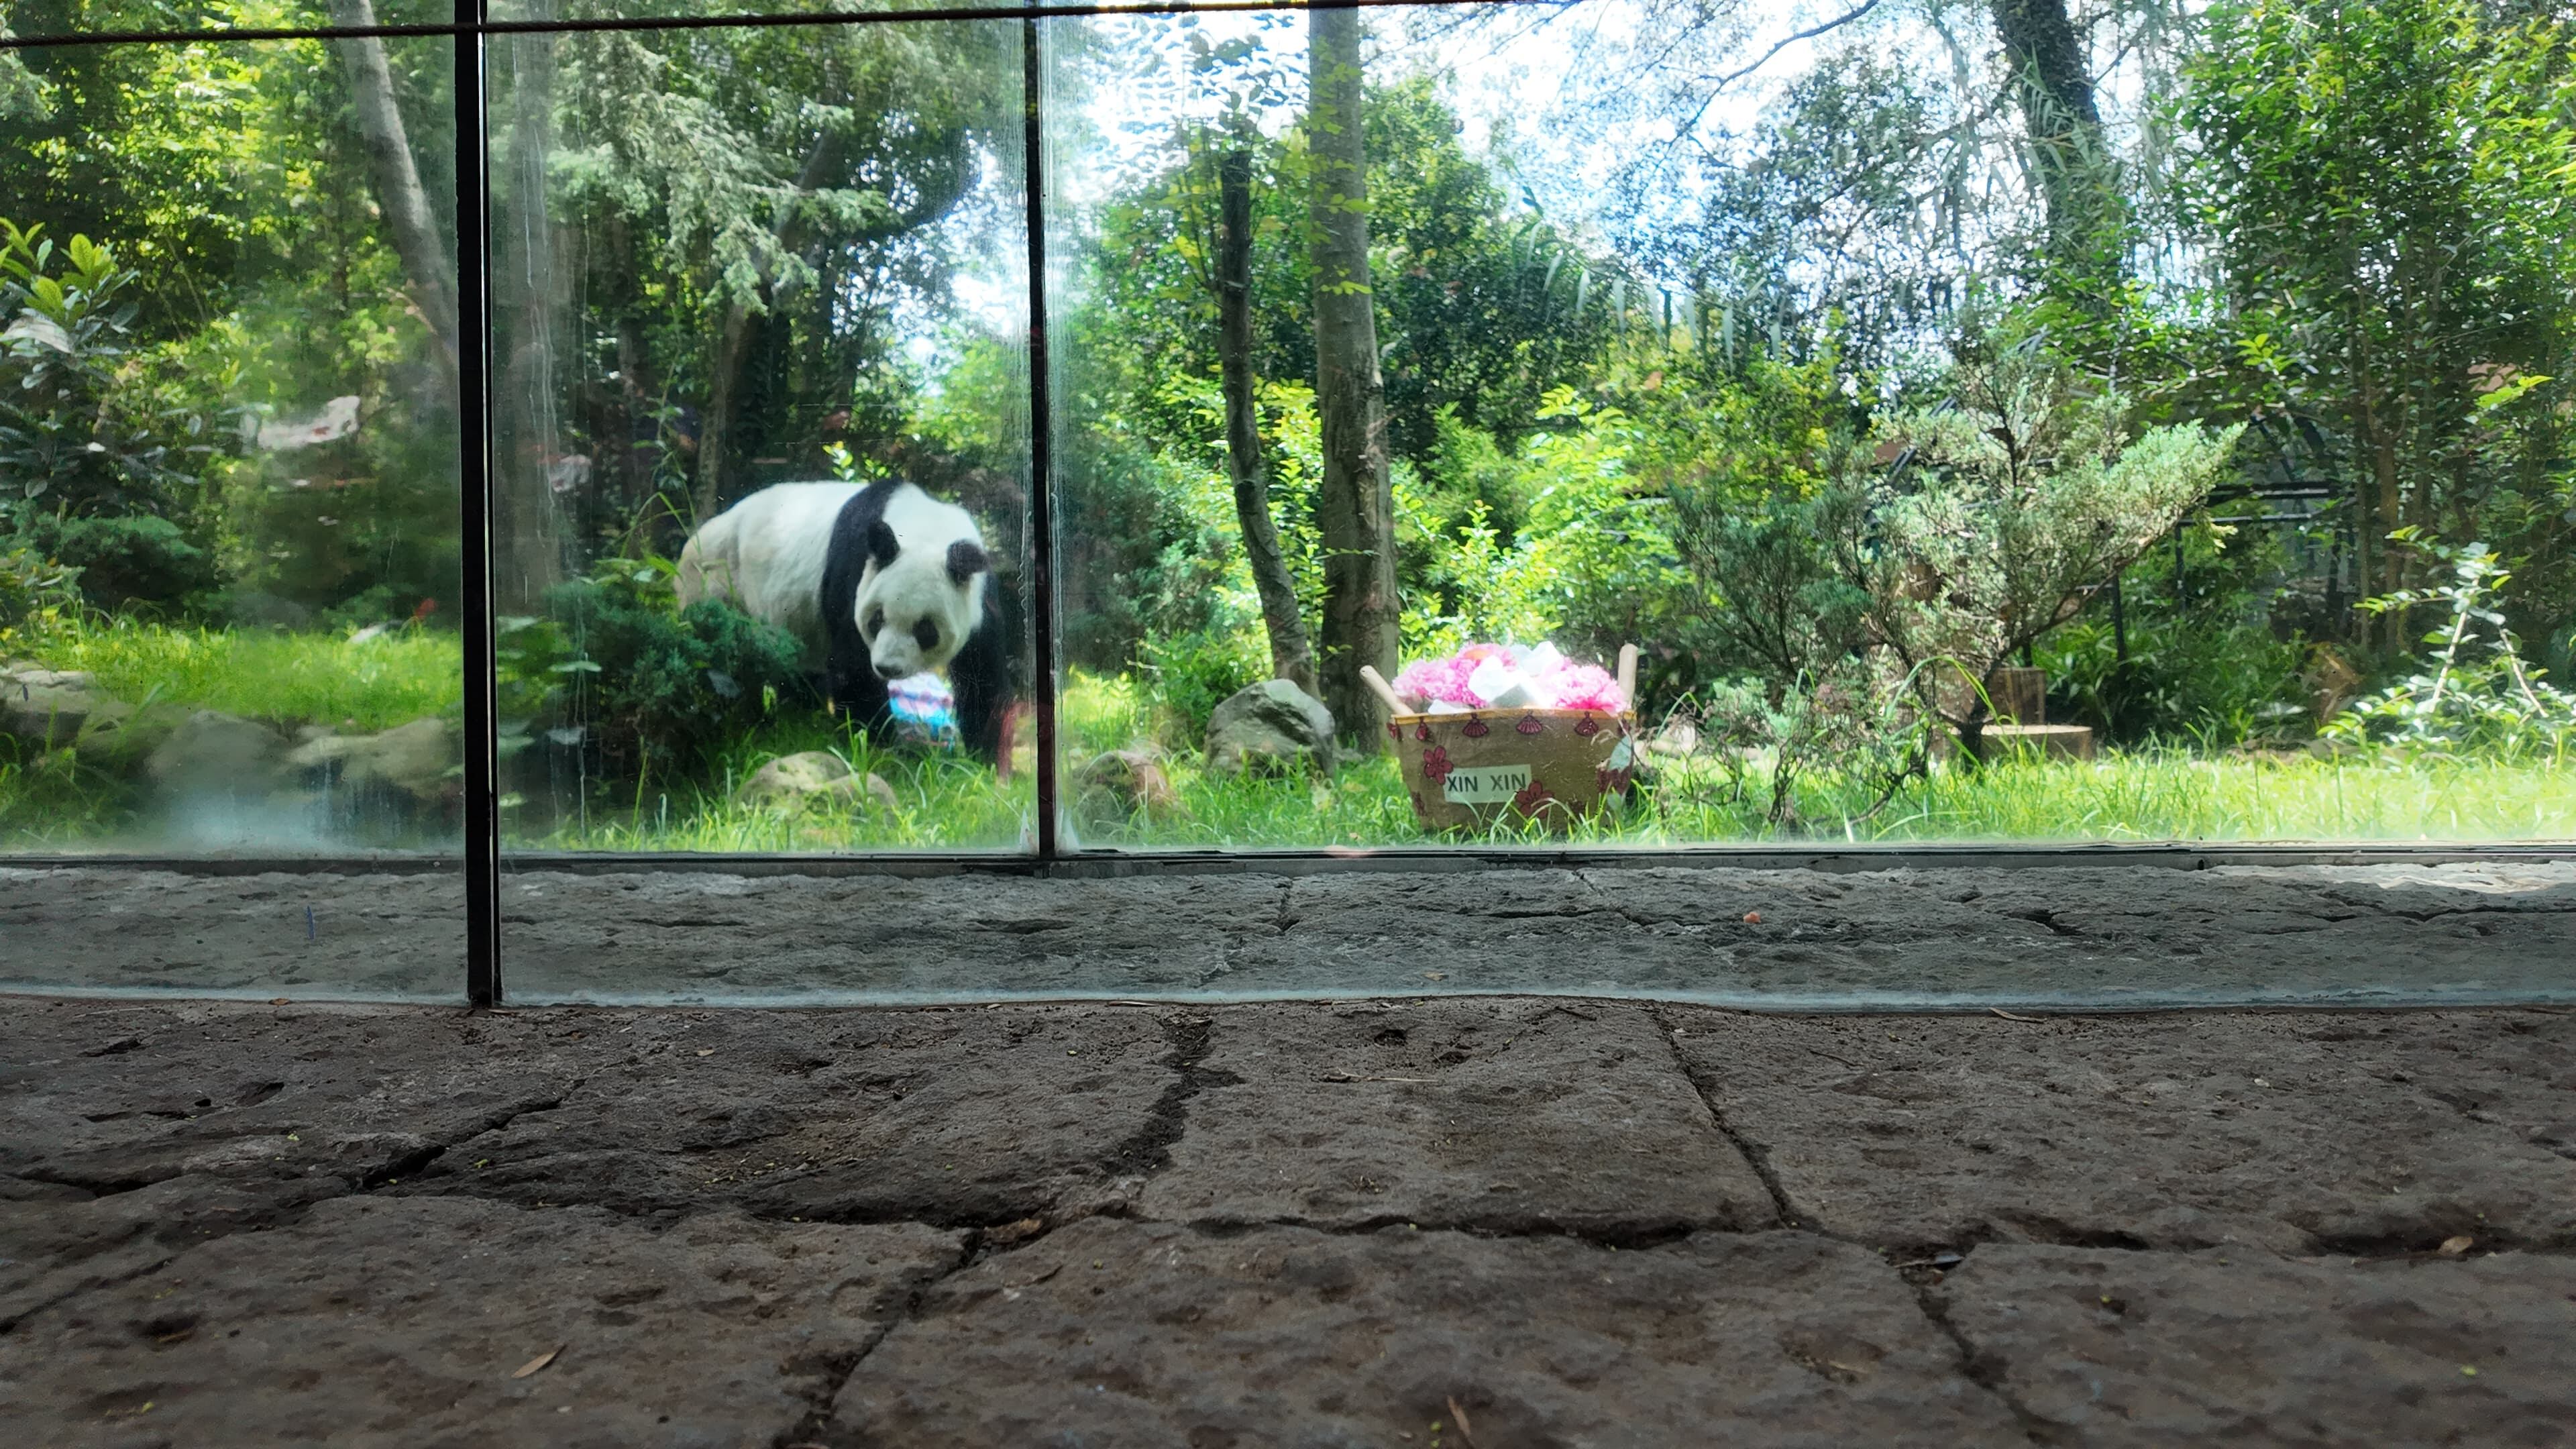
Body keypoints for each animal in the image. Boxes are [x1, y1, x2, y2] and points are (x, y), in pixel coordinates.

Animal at [675, 479, 1015, 760]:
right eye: (877, 619)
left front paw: (985, 762)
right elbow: (854, 671)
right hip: (717, 583)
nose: (888, 668)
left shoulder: (982, 600)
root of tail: (693, 541)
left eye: (925, 629)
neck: (925, 528)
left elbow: (982, 674)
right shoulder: (856, 573)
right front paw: (883, 749)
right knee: (726, 664)